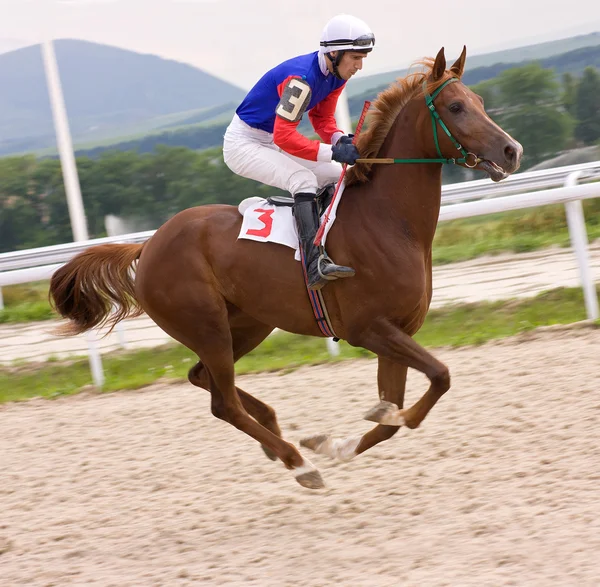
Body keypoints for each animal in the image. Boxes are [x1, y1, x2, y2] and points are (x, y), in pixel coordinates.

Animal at [50, 46, 520, 490]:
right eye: (455, 107)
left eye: (479, 101)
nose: (511, 151)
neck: (389, 221)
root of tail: (147, 245)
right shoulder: (370, 328)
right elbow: (438, 378)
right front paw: (339, 440)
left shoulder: (397, 331)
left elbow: (394, 412)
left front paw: (338, 442)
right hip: (208, 327)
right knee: (222, 402)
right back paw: (297, 462)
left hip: (247, 324)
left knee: (203, 378)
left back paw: (276, 431)